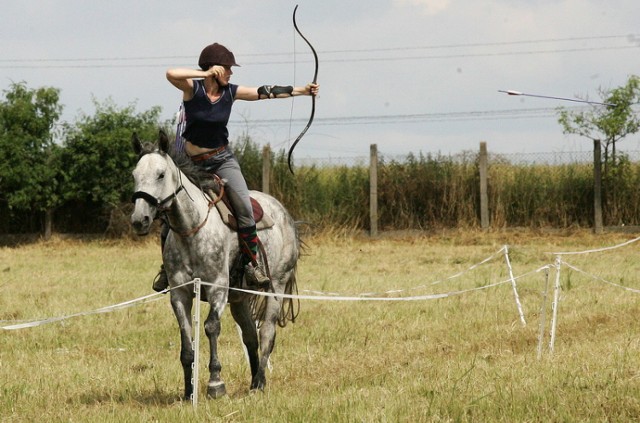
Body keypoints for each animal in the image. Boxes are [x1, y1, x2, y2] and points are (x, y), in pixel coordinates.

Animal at [130, 132, 302, 400]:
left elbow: (211, 327)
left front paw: (215, 383)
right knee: (250, 336)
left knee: (266, 333)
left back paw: (260, 382)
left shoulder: (217, 289)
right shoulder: (180, 294)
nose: (140, 220)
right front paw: (188, 391)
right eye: (134, 175)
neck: (192, 228)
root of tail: (285, 215)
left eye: (160, 174)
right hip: (240, 297)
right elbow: (186, 339)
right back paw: (253, 381)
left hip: (277, 287)